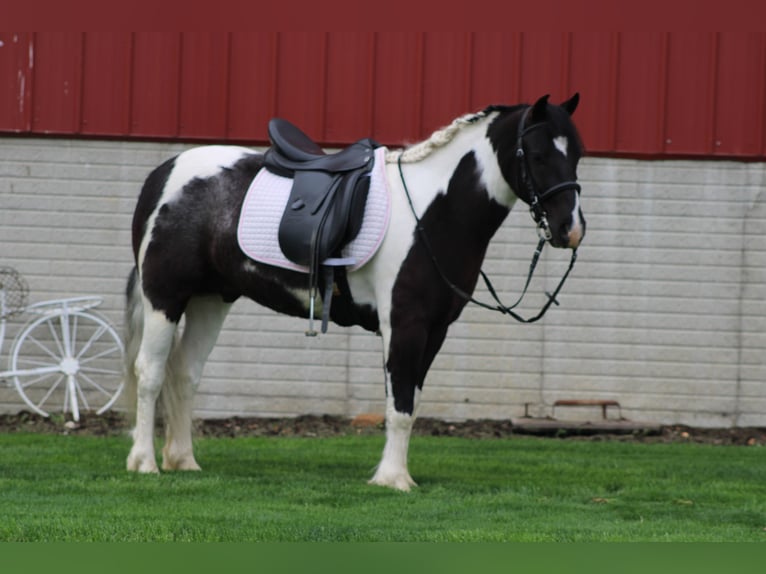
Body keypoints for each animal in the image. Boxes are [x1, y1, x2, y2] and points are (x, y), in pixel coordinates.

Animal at [124, 93, 585, 491]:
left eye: (577, 154)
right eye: (539, 155)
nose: (571, 230)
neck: (433, 212)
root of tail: (165, 173)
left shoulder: (435, 329)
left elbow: (412, 402)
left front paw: (395, 473)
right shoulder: (404, 323)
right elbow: (399, 405)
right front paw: (394, 480)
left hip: (209, 300)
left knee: (184, 373)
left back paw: (183, 461)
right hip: (164, 295)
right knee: (150, 372)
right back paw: (144, 462)